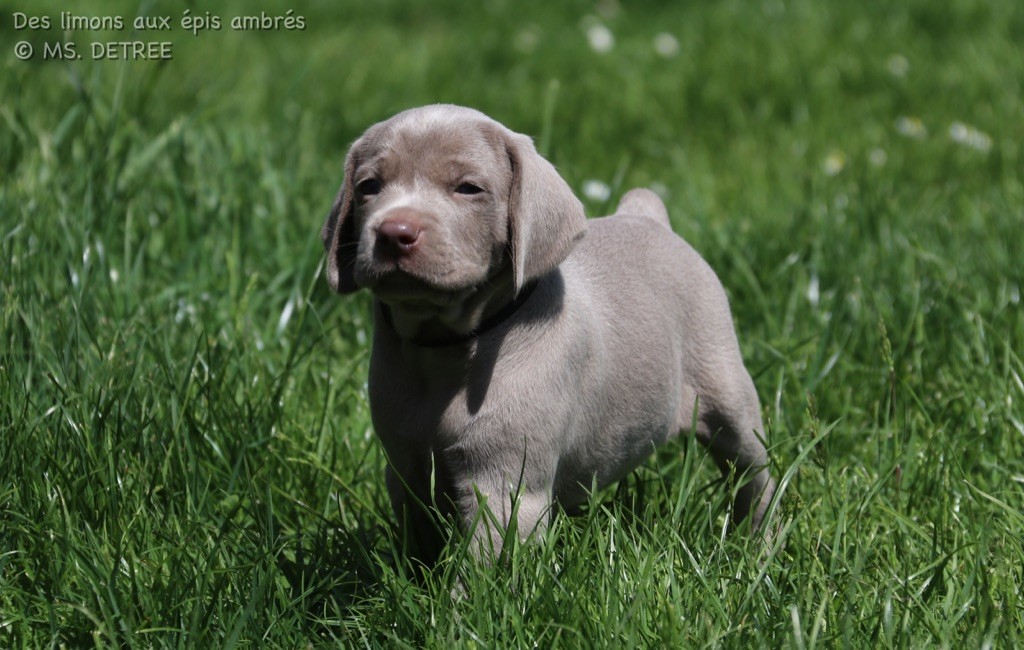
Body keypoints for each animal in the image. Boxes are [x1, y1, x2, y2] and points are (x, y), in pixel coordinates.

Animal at [319, 105, 774, 565]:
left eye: (468, 188)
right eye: (369, 186)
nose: (394, 232)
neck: (444, 345)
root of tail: (646, 215)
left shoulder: (504, 486)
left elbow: (483, 567)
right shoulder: (405, 467)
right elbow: (418, 544)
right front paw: (413, 577)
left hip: (727, 391)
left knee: (755, 474)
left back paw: (757, 543)